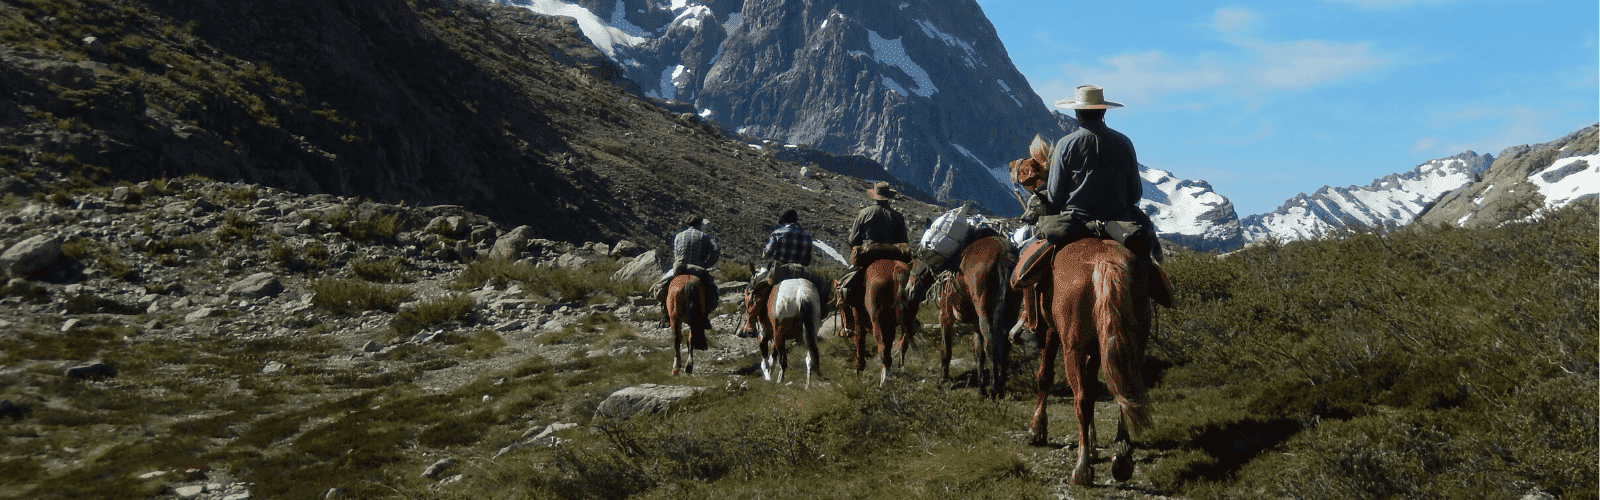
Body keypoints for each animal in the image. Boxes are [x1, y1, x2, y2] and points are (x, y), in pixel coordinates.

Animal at [921, 233, 1017, 399]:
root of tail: (1003, 252)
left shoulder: (945, 315)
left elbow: (946, 349)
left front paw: (943, 379)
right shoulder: (975, 324)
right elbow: (978, 353)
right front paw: (981, 388)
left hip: (985, 312)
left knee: (991, 342)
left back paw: (994, 388)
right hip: (1012, 311)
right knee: (1005, 343)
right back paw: (1000, 385)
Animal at [1030, 235, 1158, 487]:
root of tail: (1105, 263)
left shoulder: (1051, 331)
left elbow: (1045, 376)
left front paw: (1038, 429)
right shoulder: (1098, 351)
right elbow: (1093, 387)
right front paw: (1094, 444)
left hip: (1073, 349)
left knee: (1080, 400)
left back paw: (1082, 469)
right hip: (1132, 344)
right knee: (1124, 391)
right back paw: (1122, 457)